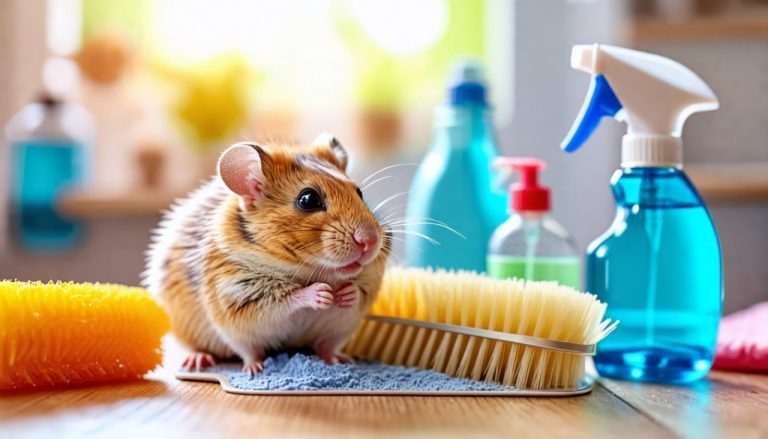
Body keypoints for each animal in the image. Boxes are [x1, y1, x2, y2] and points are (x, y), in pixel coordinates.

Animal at [143, 133, 390, 374]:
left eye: (359, 192)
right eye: (308, 199)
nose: (370, 241)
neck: (310, 270)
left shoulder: (351, 312)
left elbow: (354, 297)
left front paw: (346, 292)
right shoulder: (239, 297)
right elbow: (287, 300)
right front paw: (321, 294)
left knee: (326, 348)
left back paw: (340, 360)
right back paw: (211, 362)